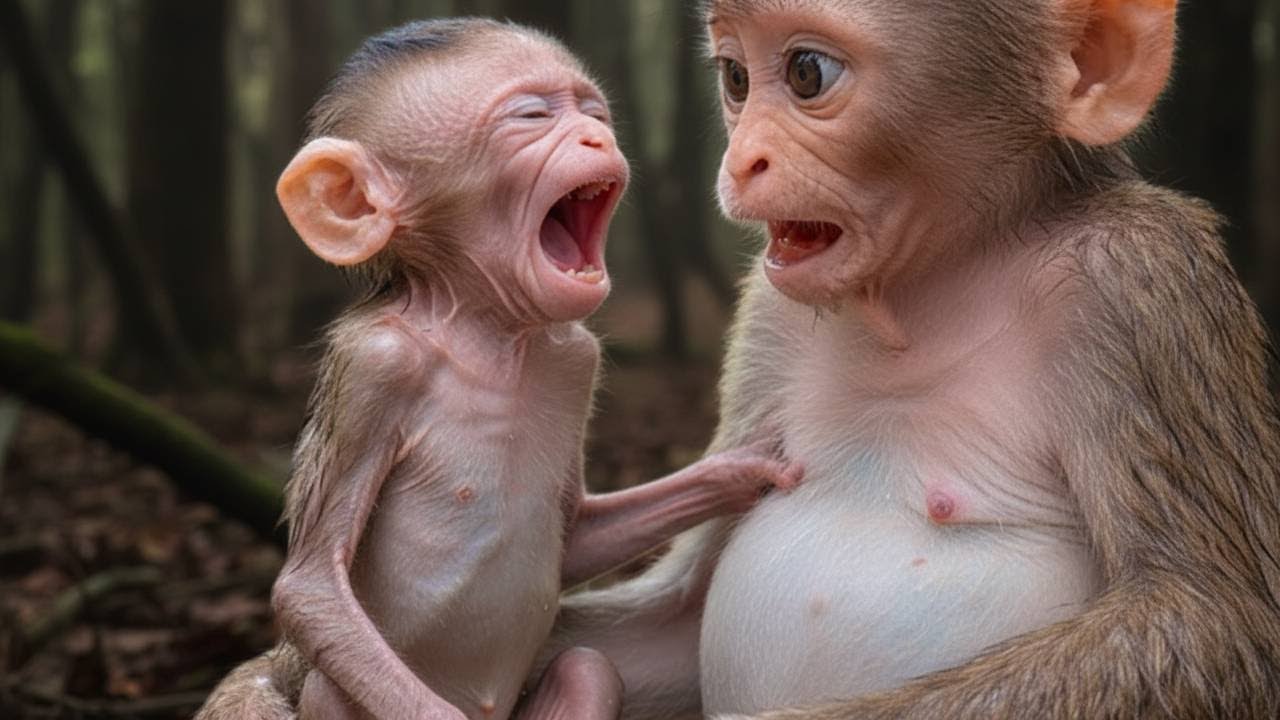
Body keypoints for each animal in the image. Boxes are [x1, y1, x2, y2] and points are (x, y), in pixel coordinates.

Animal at [193, 18, 803, 720]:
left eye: (594, 113)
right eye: (531, 116)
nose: (598, 137)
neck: (487, 332)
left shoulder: (577, 357)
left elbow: (578, 540)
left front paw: (740, 473)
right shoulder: (376, 365)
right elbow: (311, 584)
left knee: (588, 670)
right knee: (332, 685)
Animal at [527, 0, 1280, 718]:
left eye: (807, 73)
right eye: (736, 78)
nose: (740, 161)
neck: (924, 293)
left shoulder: (1139, 280)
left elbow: (1207, 622)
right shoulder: (770, 317)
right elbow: (677, 628)